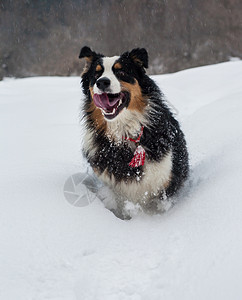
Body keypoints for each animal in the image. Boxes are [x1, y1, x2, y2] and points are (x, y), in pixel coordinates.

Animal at [79, 46, 189, 216]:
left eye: (121, 72)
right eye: (96, 74)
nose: (102, 82)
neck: (123, 131)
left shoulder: (165, 179)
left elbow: (160, 203)